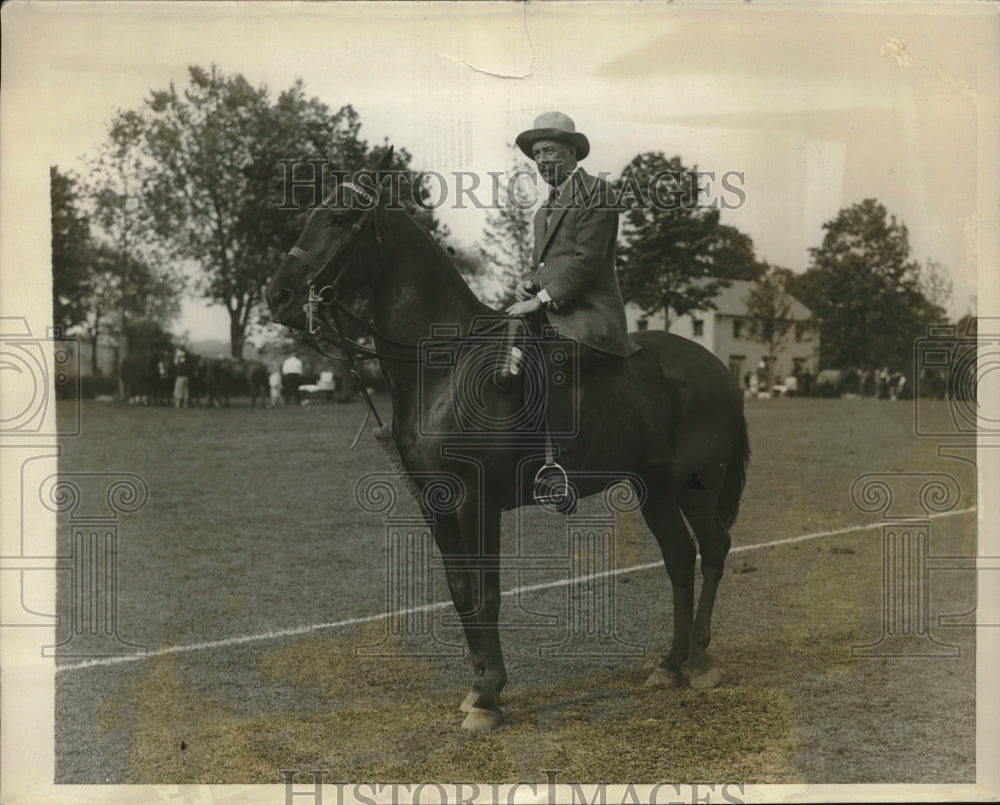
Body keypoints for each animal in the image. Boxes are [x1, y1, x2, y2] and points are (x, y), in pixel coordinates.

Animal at [266, 149, 752, 728]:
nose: (277, 296)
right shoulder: (434, 503)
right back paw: (670, 664)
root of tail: (719, 368)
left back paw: (699, 660)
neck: (443, 366)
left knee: (714, 549)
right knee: (679, 558)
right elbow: (460, 592)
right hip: (652, 487)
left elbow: (488, 593)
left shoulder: (476, 502)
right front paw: (477, 686)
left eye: (340, 218)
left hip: (693, 483)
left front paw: (489, 694)